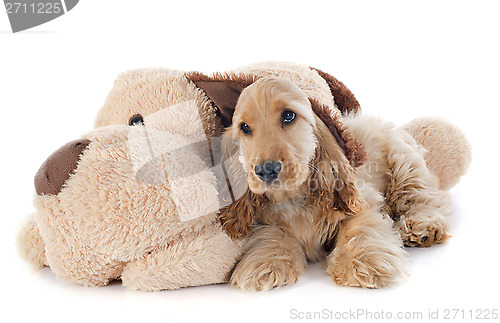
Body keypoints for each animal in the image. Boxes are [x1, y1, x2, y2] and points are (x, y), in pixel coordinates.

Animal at [219, 78, 410, 292]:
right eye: (245, 127)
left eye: (288, 115)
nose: (265, 170)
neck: (294, 198)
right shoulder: (266, 221)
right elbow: (272, 233)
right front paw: (266, 263)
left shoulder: (363, 198)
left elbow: (360, 226)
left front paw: (364, 262)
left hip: (402, 161)